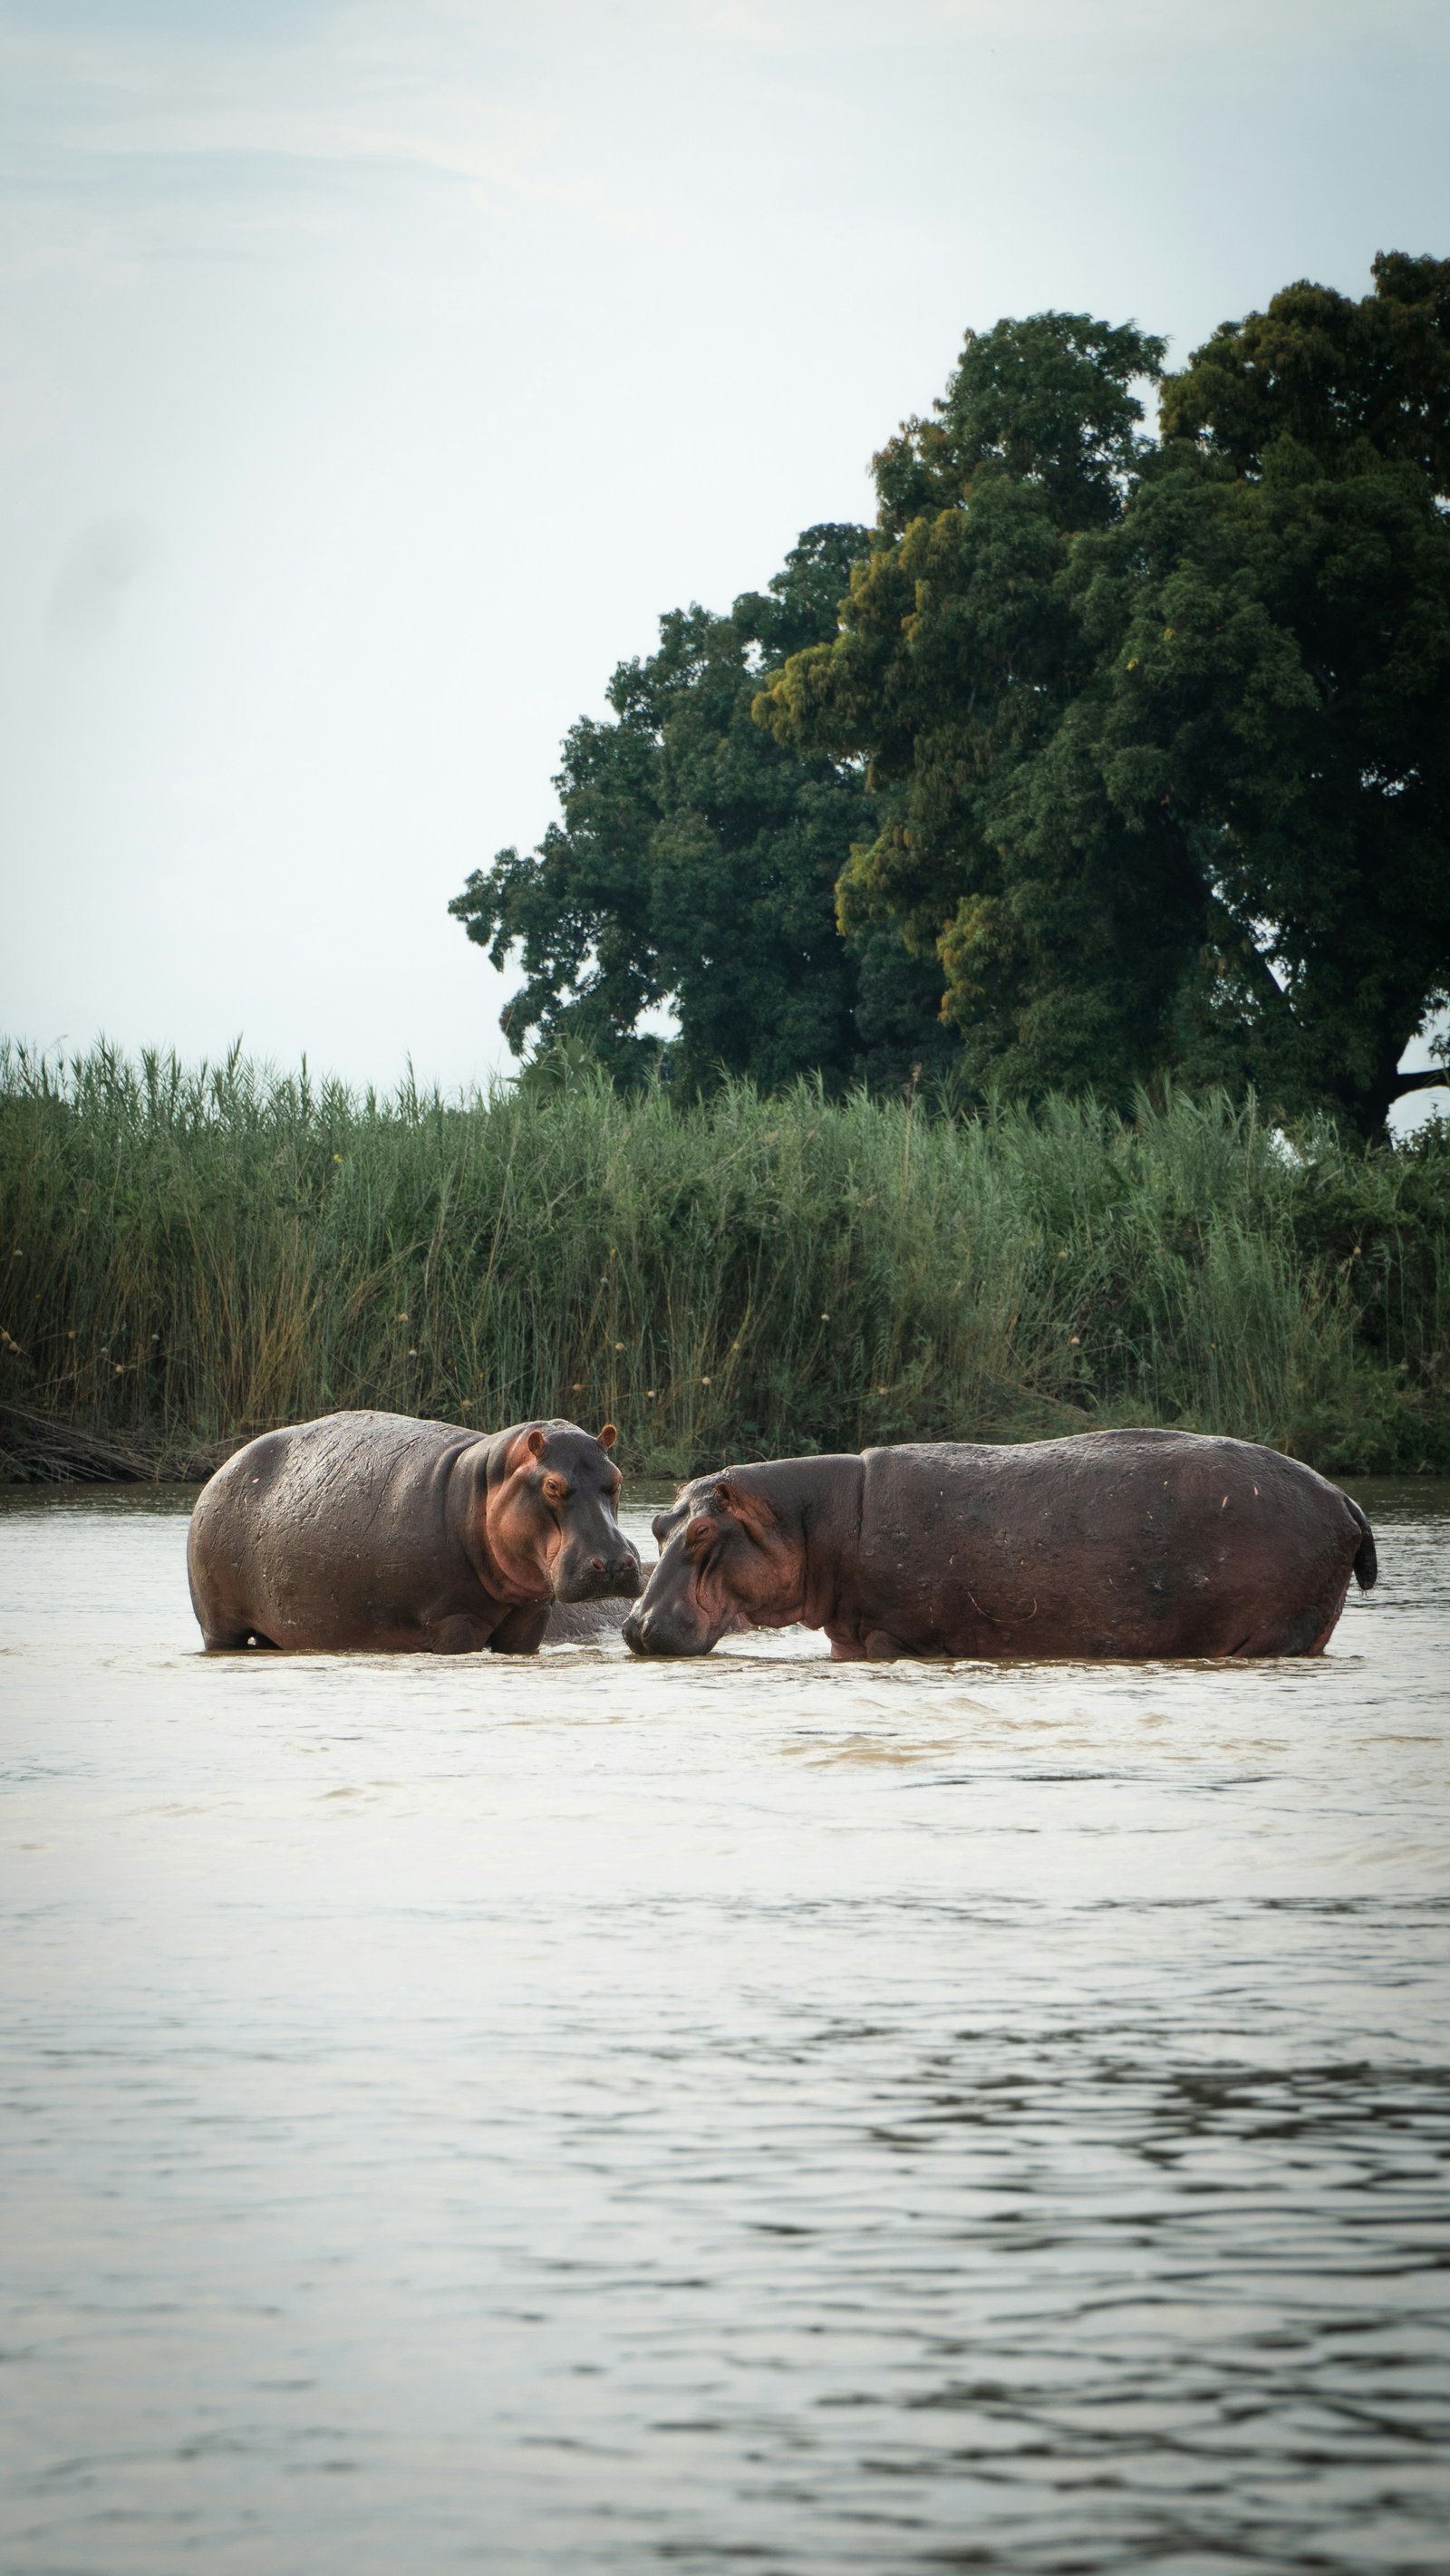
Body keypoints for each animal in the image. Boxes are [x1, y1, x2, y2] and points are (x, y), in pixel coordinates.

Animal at [188, 1410, 640, 1653]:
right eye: (552, 1486)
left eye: (617, 1478)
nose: (614, 1563)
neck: (483, 1486)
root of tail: (224, 1467)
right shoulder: (453, 1619)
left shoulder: (531, 1617)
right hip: (218, 1625)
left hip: (279, 1627)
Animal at [622, 1429, 1377, 1662]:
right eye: (657, 1524)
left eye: (702, 1532)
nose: (633, 1626)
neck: (814, 1520)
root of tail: (1344, 1499)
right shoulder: (850, 1641)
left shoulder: (898, 1638)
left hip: (1278, 1630)